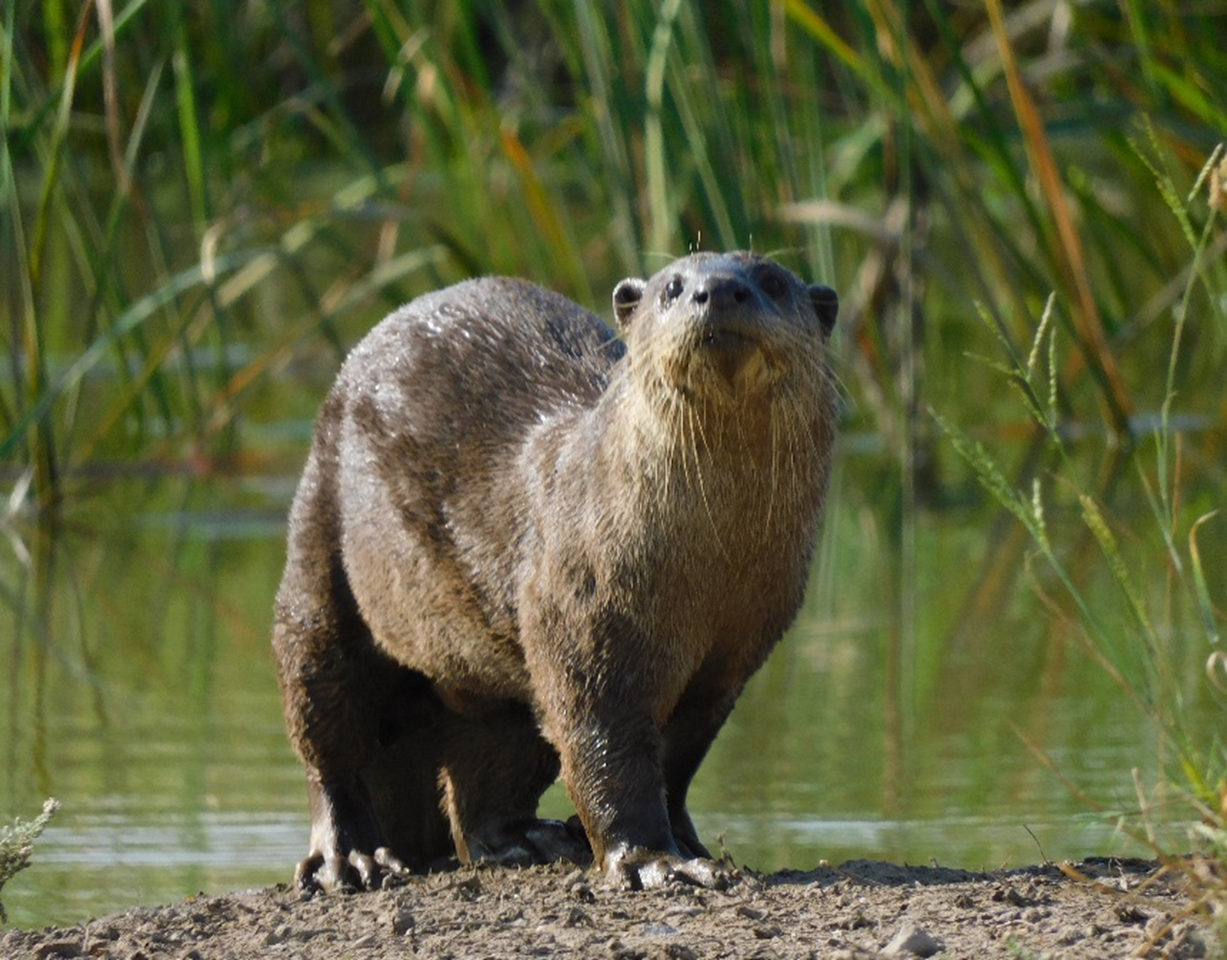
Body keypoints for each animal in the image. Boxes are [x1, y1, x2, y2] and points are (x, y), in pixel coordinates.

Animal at [273, 250, 839, 893]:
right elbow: (606, 747)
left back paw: (530, 839)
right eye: (672, 286)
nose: (717, 290)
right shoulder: (582, 615)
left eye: (771, 281)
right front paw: (654, 858)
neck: (710, 573)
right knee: (326, 726)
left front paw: (687, 839)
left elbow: (678, 757)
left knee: (489, 771)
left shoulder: (735, 655)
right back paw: (350, 858)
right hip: (319, 542)